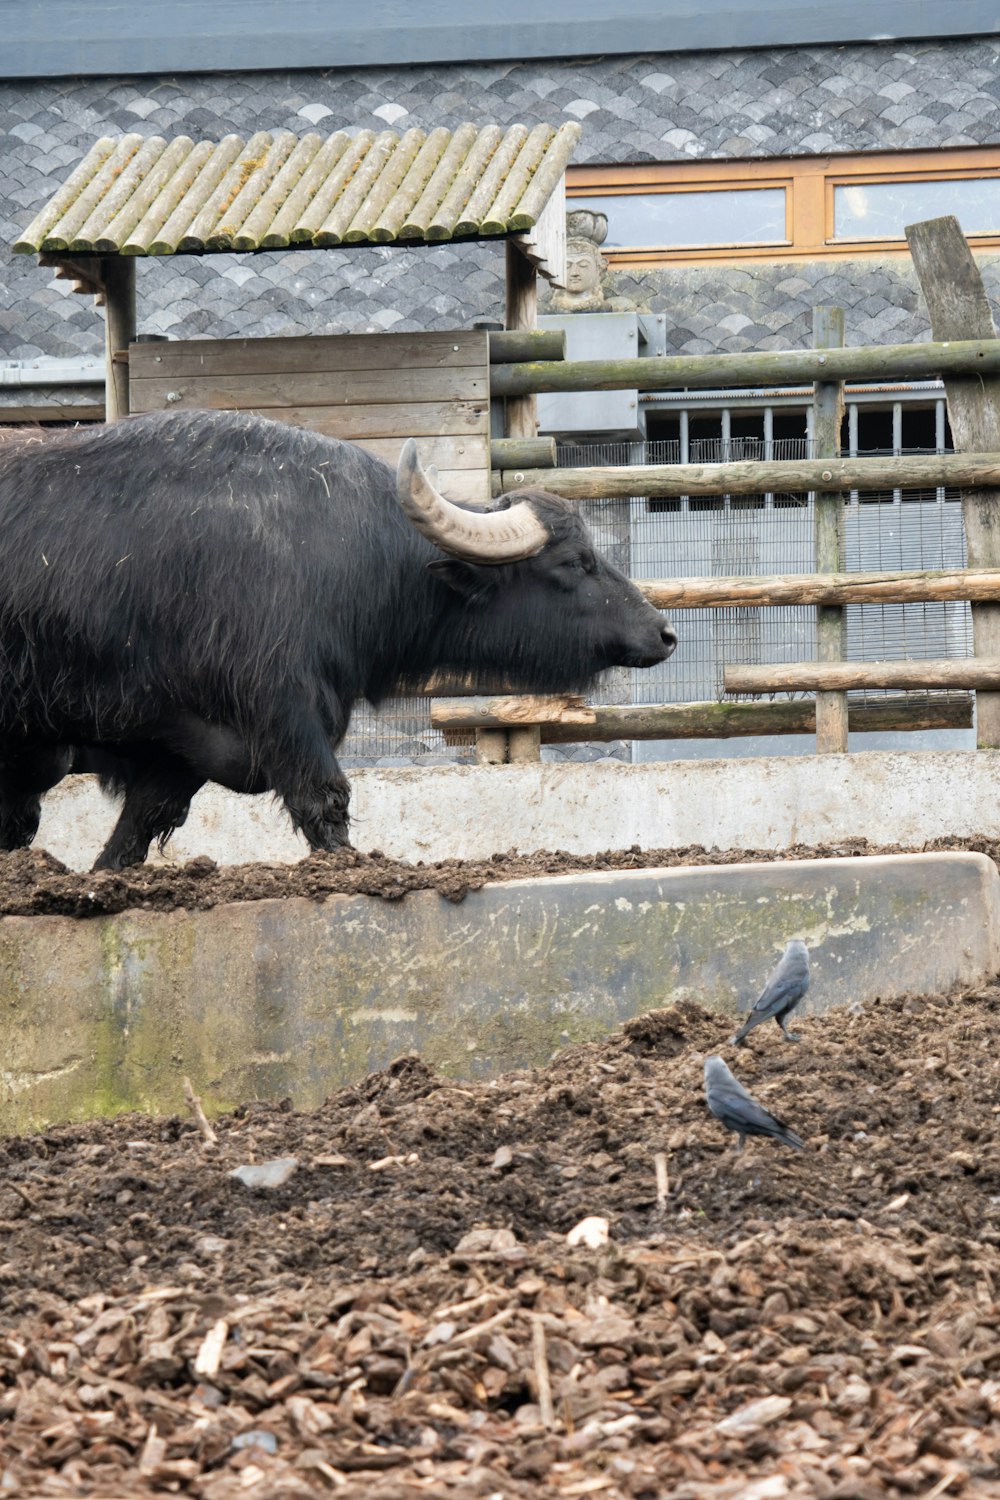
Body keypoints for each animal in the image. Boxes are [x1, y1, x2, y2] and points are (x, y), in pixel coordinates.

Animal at [0, 411, 680, 870]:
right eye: (576, 562)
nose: (663, 632)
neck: (344, 555)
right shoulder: (284, 709)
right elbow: (323, 801)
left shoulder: (178, 752)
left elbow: (135, 831)